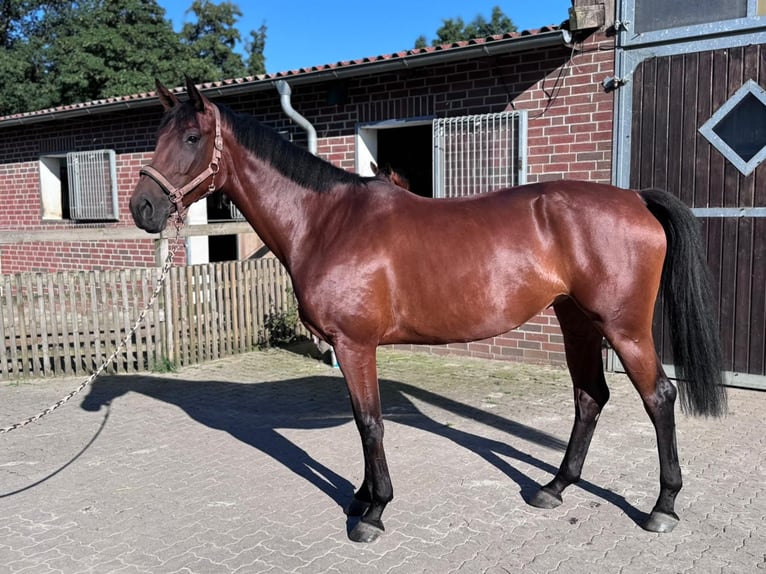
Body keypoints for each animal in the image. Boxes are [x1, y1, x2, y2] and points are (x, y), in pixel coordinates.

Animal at [129, 80, 728, 544]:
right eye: (157, 138)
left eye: (191, 138)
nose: (143, 208)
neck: (327, 221)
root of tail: (635, 199)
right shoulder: (352, 349)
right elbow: (362, 421)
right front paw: (360, 497)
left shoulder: (354, 345)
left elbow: (370, 423)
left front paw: (372, 511)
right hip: (576, 320)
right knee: (590, 397)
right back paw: (554, 488)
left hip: (623, 328)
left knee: (659, 398)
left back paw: (662, 507)